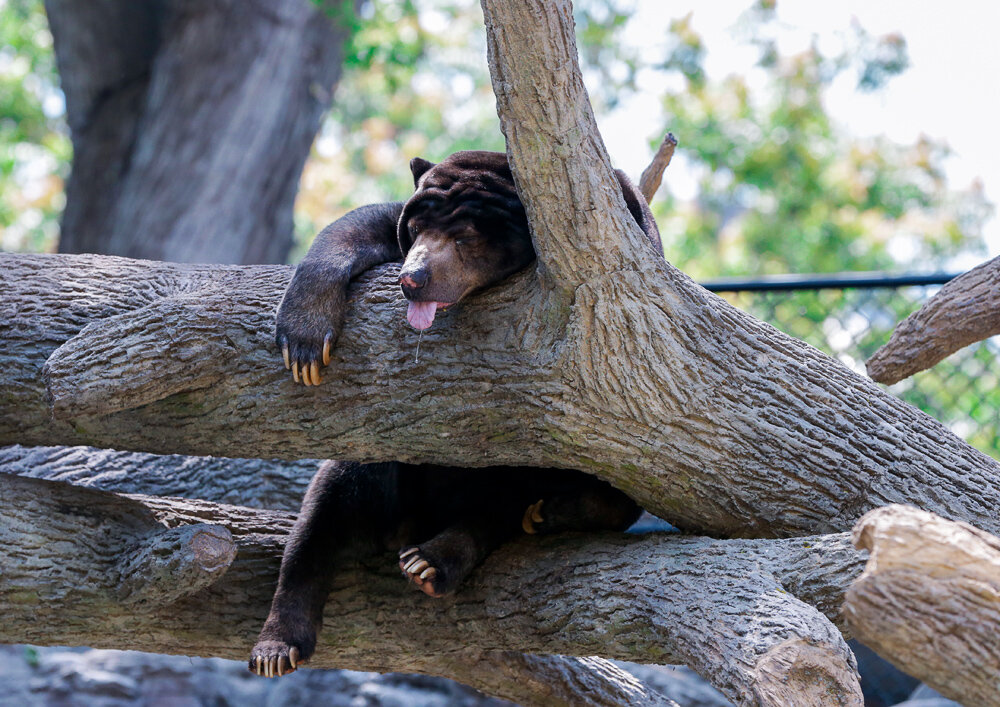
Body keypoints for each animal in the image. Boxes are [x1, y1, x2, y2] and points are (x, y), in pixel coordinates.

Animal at [250, 152, 660, 676]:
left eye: (465, 237)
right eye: (418, 231)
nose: (412, 279)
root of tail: (414, 522)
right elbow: (361, 224)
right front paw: (304, 344)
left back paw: (446, 556)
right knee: (329, 509)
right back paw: (277, 646)